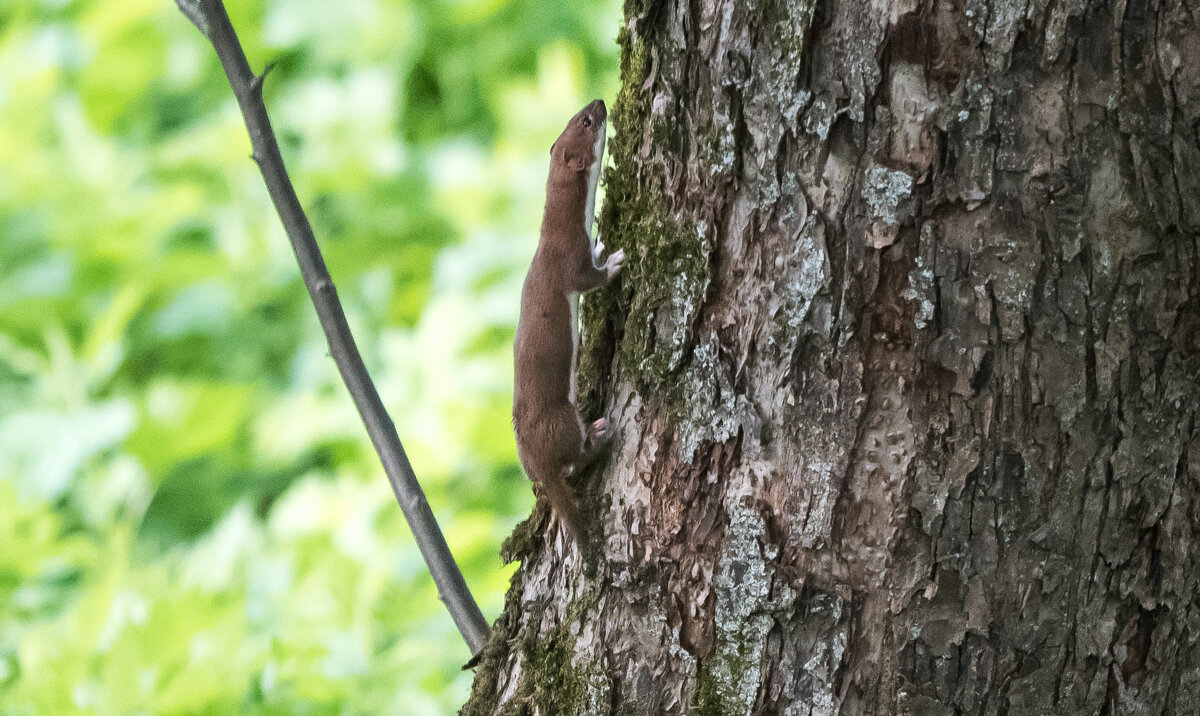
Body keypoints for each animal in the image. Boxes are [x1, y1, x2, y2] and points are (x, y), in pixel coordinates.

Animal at [513, 98, 624, 537]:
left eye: (577, 115)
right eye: (587, 122)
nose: (601, 100)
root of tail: (534, 459)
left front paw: (602, 244)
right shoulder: (568, 261)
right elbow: (587, 278)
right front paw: (614, 262)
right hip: (561, 419)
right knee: (576, 455)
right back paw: (599, 434)